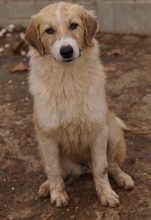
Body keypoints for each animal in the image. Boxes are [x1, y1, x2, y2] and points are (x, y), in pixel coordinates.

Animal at [25, 1, 134, 208]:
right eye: (49, 30)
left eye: (74, 25)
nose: (66, 51)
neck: (68, 80)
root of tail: (83, 167)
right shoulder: (47, 136)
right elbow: (53, 170)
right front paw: (57, 194)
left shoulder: (99, 131)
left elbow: (101, 168)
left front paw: (106, 194)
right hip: (42, 147)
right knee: (59, 171)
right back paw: (47, 186)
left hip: (113, 133)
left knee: (112, 164)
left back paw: (122, 178)